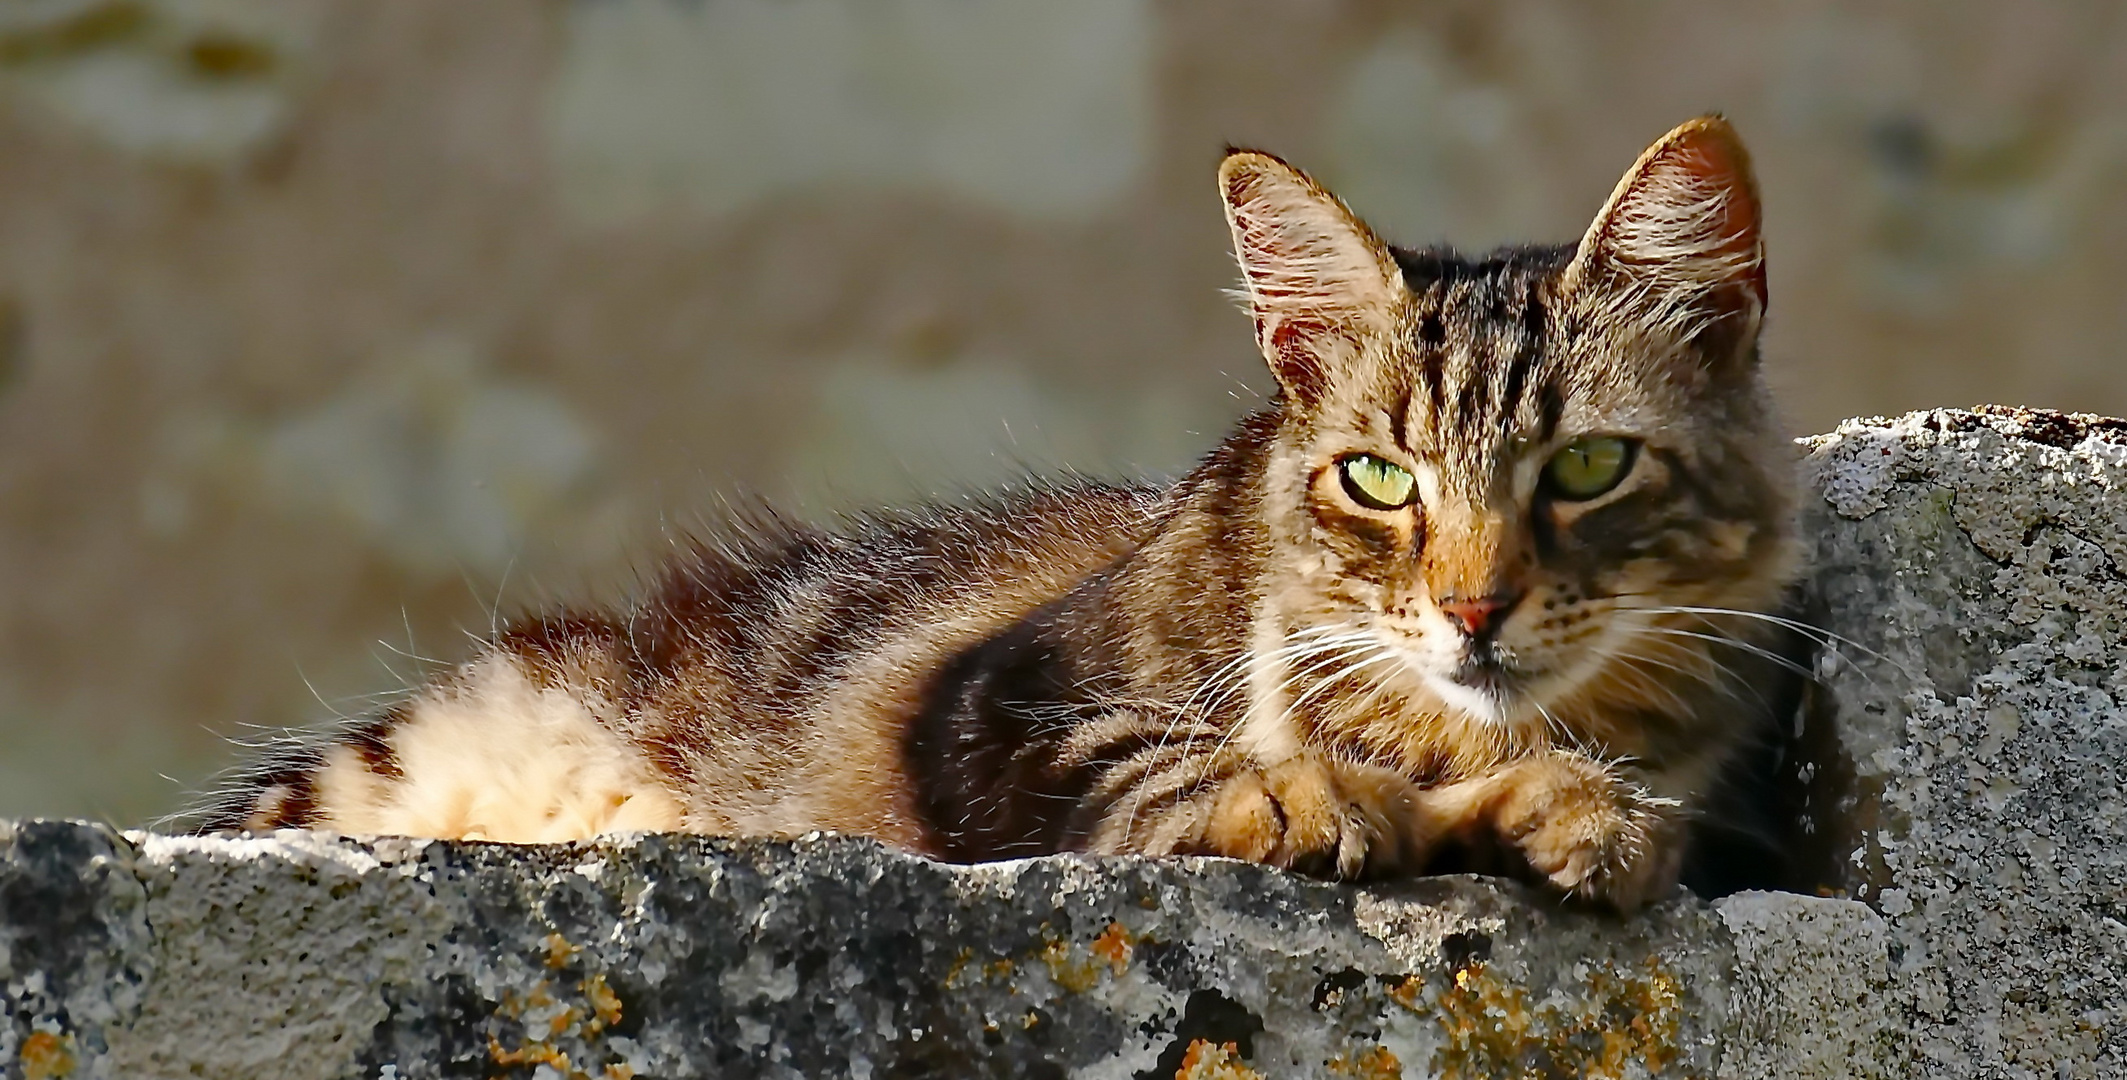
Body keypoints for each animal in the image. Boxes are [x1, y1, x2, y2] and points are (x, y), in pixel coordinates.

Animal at [207, 115, 1795, 909]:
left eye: (1585, 471)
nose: (1470, 607)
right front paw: (1304, 793)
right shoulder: (986, 705)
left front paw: (1582, 816)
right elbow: (1167, 756)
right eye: (1379, 479)